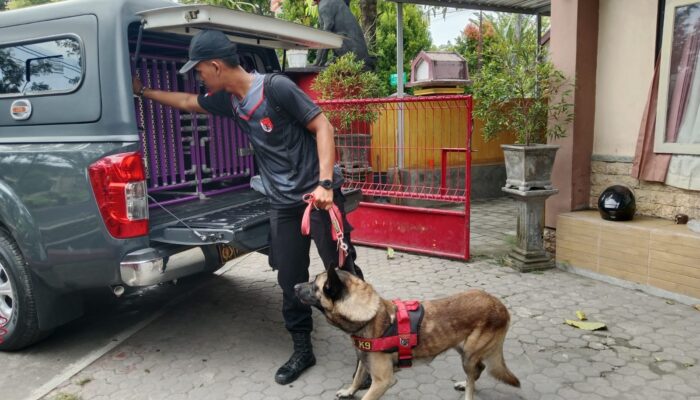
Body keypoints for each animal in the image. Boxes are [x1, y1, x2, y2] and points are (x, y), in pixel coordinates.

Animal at [296, 266, 520, 400]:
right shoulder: (363, 359)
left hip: (469, 355)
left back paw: (468, 391)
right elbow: (358, 377)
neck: (369, 315)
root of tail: (500, 306)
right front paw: (349, 391)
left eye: (314, 285)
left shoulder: (383, 381)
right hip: (462, 348)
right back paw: (464, 384)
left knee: (475, 374)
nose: (295, 285)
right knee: (479, 369)